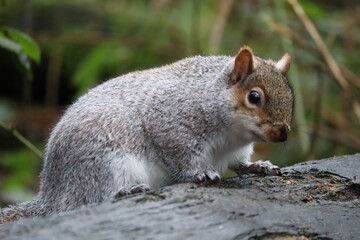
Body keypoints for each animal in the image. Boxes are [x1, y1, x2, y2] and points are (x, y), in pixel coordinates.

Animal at [0, 46, 292, 224]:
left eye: (291, 96)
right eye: (254, 97)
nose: (282, 134)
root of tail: (50, 196)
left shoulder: (235, 149)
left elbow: (239, 164)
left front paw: (258, 166)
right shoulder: (171, 126)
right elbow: (178, 157)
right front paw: (199, 173)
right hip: (102, 163)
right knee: (85, 201)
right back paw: (124, 192)